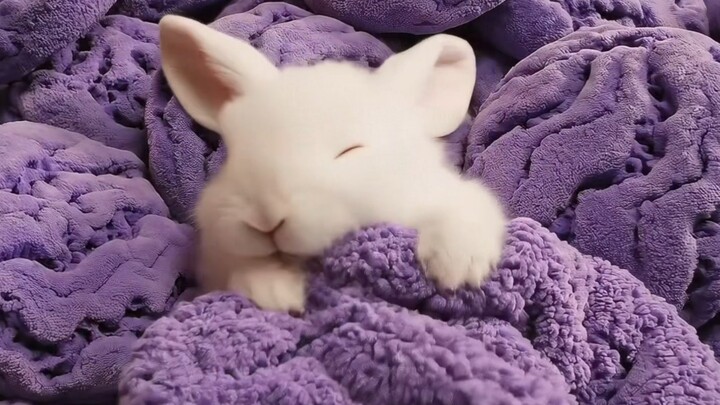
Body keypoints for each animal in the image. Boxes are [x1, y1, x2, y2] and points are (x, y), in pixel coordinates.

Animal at [158, 15, 507, 312]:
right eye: (234, 151)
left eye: (350, 150)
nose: (266, 216)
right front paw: (276, 292)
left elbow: (462, 213)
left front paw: (456, 266)